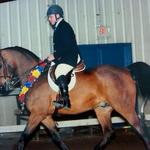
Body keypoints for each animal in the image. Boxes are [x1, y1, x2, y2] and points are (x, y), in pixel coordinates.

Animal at [0, 46, 149, 149]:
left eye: (0, 64)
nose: (3, 86)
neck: (34, 79)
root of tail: (127, 70)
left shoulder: (37, 114)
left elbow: (23, 138)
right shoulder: (45, 116)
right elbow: (57, 138)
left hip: (124, 107)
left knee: (140, 128)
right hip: (102, 109)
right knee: (108, 132)